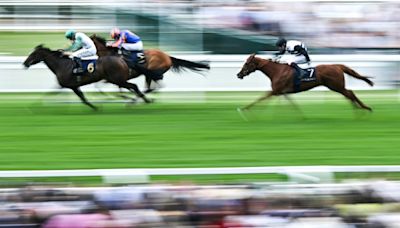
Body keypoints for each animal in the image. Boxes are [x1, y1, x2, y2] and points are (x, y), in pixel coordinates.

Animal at [23, 44, 152, 110]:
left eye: (33, 54)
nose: (24, 63)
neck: (61, 64)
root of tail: (122, 59)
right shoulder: (71, 86)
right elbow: (82, 98)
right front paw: (95, 106)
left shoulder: (70, 86)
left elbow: (51, 93)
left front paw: (34, 105)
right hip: (116, 80)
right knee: (133, 87)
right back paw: (141, 99)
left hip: (118, 79)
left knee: (134, 86)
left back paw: (142, 100)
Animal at [236, 52, 374, 111]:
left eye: (247, 63)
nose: (239, 74)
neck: (277, 71)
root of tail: (337, 66)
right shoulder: (282, 92)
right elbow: (292, 104)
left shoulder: (275, 91)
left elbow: (260, 98)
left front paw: (244, 109)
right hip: (336, 86)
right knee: (349, 94)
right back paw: (358, 109)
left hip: (336, 86)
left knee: (350, 93)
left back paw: (364, 108)